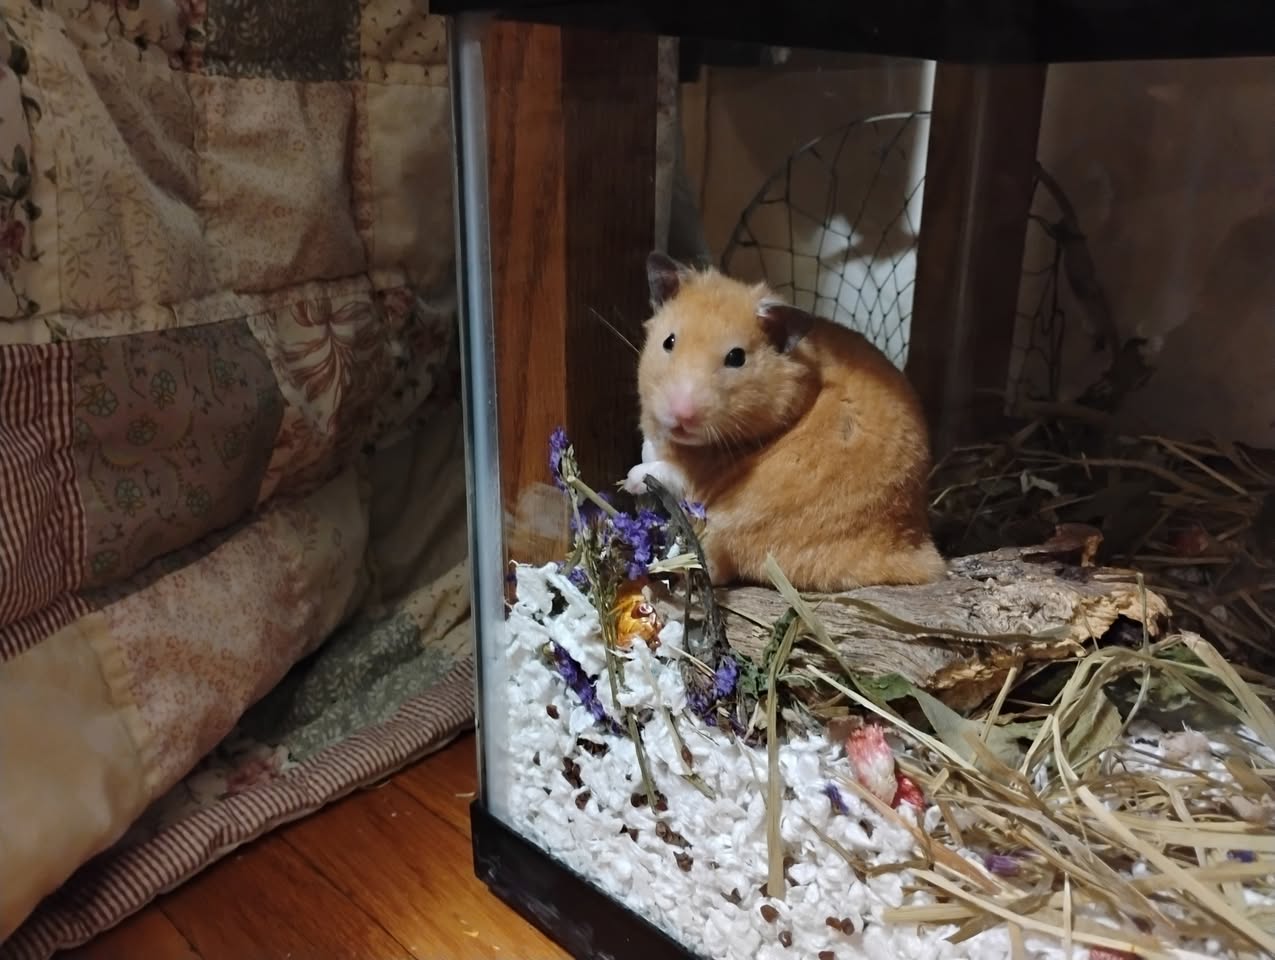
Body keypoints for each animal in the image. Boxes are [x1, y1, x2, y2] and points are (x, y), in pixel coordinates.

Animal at [623, 252, 947, 592]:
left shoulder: (698, 476)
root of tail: (915, 552)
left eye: (736, 357)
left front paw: (630, 480)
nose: (681, 415)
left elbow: (663, 470)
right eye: (669, 341)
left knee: (716, 565)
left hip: (736, 523)